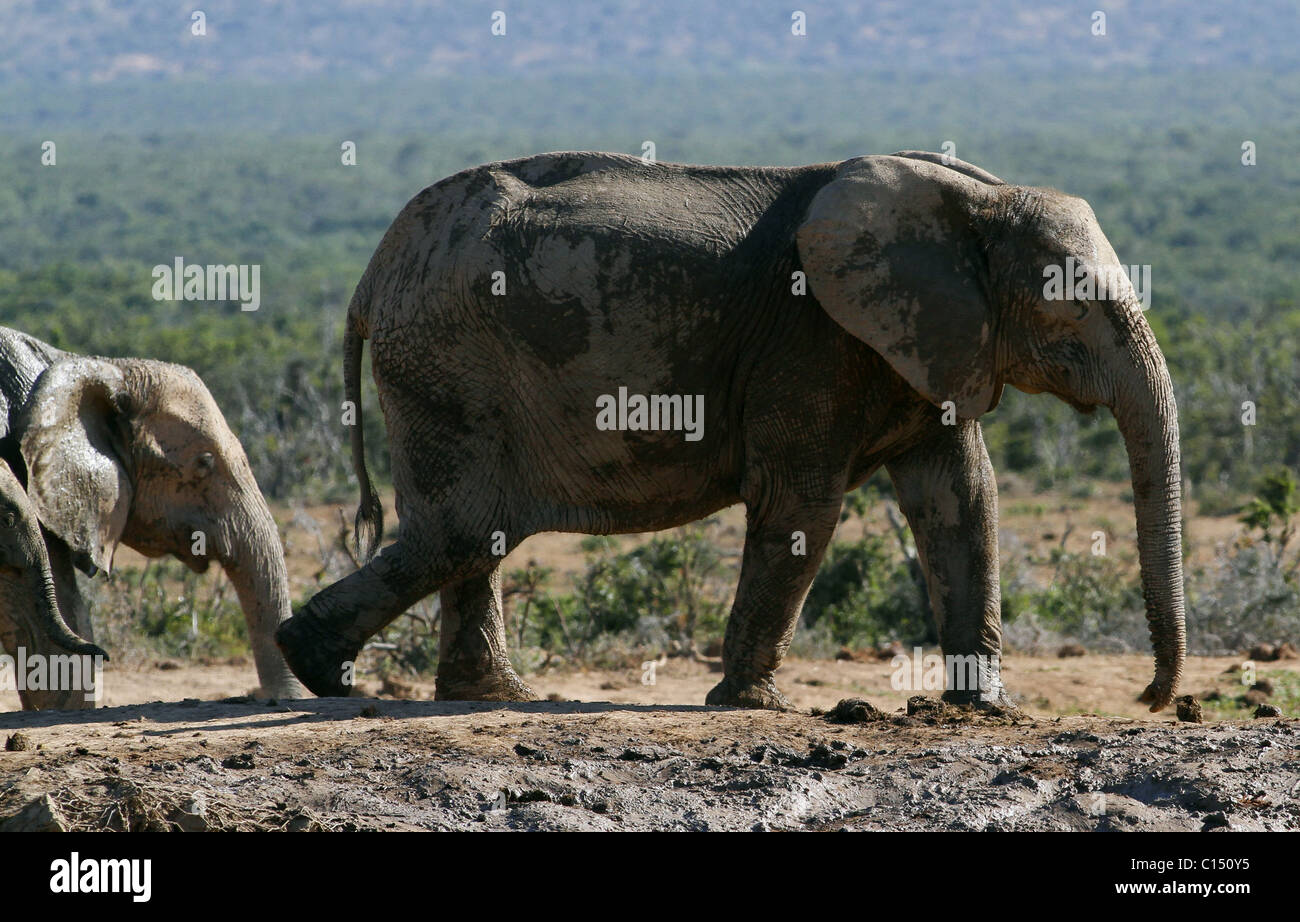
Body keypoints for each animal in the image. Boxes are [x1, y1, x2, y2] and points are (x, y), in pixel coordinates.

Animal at [276, 149, 1184, 713]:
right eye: (1072, 306)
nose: (1150, 697)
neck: (978, 199)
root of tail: (371, 276)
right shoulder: (812, 336)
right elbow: (802, 503)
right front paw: (751, 704)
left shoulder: (922, 342)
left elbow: (963, 500)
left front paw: (985, 710)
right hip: (446, 357)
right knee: (462, 527)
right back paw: (315, 666)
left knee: (475, 532)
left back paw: (489, 696)